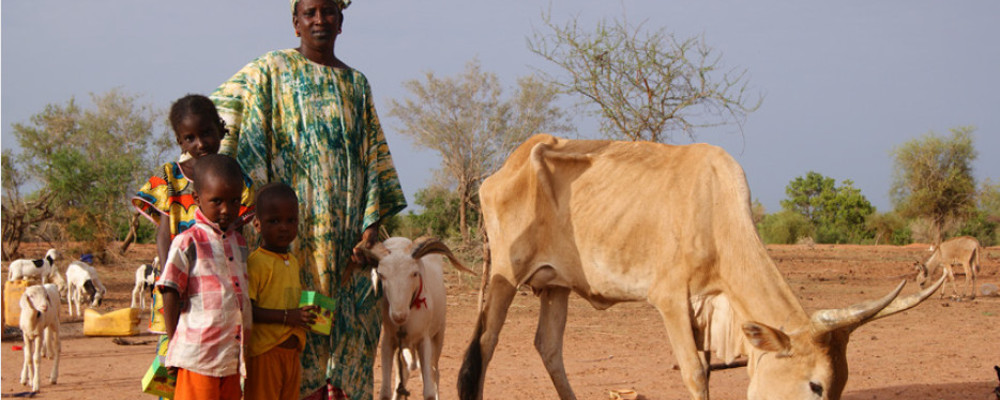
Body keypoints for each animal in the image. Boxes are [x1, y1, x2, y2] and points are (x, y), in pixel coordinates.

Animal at [364, 238, 476, 400]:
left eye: (414, 273)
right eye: (382, 275)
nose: (399, 315)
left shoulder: (424, 340)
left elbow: (428, 391)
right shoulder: (389, 341)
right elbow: (385, 391)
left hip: (438, 336)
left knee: (435, 373)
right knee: (403, 376)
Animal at [460, 134, 944, 400]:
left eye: (842, 385)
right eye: (815, 385)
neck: (714, 210)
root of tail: (507, 166)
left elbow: (706, 370)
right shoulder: (671, 300)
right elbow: (694, 374)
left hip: (556, 285)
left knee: (548, 347)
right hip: (505, 275)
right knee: (483, 347)